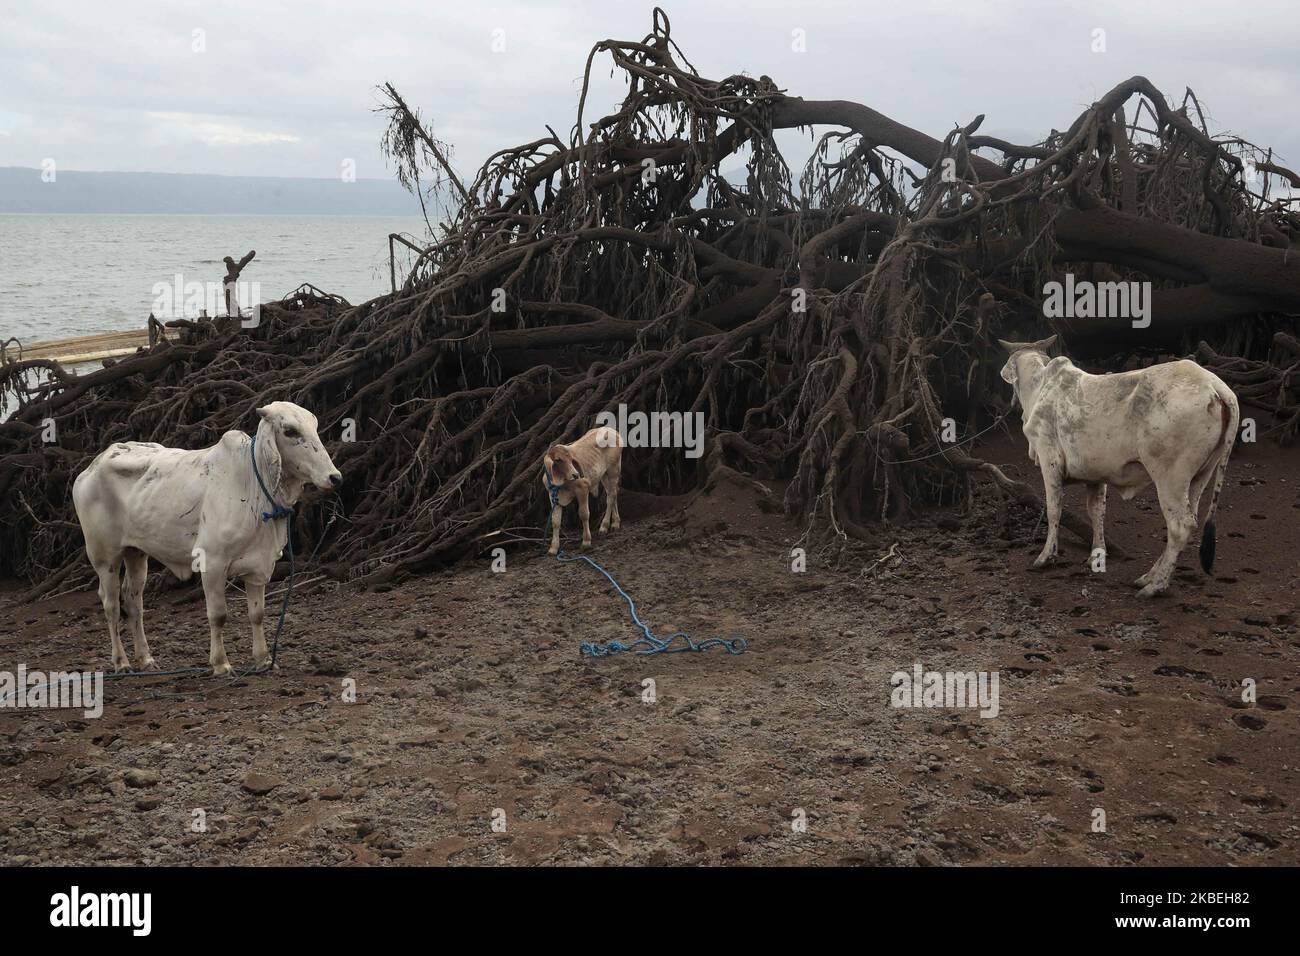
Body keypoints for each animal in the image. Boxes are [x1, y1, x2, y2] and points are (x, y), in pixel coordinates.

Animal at [71, 400, 340, 676]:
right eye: (290, 431)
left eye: (314, 427)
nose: (335, 477)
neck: (254, 485)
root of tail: (92, 467)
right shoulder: (213, 563)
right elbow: (218, 615)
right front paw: (221, 663)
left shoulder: (259, 566)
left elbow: (257, 614)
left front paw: (263, 660)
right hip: (104, 557)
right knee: (111, 605)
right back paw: (121, 662)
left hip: (136, 553)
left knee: (134, 601)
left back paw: (146, 659)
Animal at [1003, 332, 1237, 595]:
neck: (1039, 387)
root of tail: (1215, 385)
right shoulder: (1095, 475)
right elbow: (1096, 512)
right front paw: (1095, 556)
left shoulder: (1048, 459)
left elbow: (1054, 509)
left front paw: (1045, 557)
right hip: (1201, 476)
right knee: (1190, 522)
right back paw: (1149, 576)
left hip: (1170, 477)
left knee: (1181, 526)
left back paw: (1155, 586)